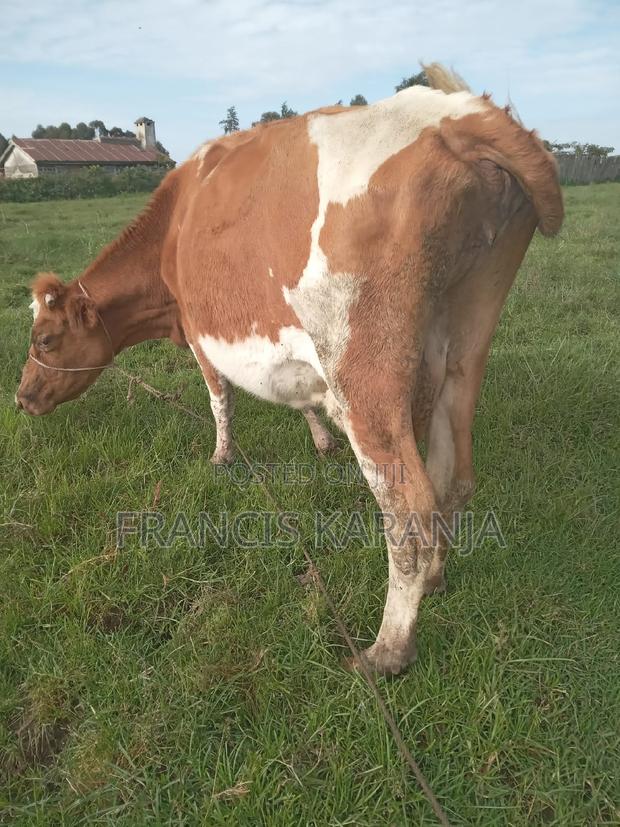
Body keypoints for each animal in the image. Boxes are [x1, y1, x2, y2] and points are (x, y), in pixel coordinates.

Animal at [15, 65, 563, 674]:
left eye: (44, 338)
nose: (22, 398)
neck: (172, 229)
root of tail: (455, 115)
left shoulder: (200, 332)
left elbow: (219, 399)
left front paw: (222, 456)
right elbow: (302, 399)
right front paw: (320, 440)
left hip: (363, 375)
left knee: (409, 509)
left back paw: (388, 649)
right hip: (465, 341)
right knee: (454, 475)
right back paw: (436, 581)